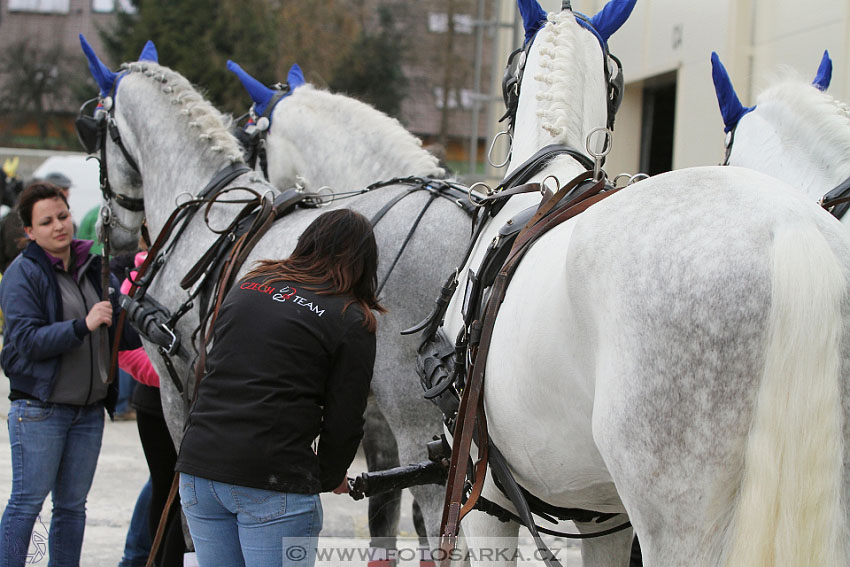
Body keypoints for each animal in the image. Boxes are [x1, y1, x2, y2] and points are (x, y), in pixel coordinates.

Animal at [78, 34, 470, 544]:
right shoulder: (368, 416)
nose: (112, 230)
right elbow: (384, 513)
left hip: (416, 414)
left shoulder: (175, 385)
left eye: (93, 135)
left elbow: (186, 506)